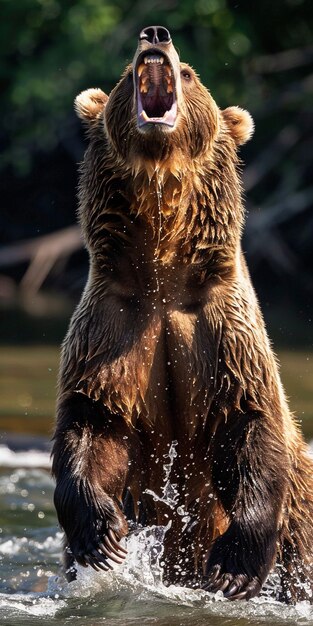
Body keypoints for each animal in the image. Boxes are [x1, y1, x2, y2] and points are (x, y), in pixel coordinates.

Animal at [51, 25, 312, 600]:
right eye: (126, 73)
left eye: (189, 73)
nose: (155, 35)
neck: (163, 273)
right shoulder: (112, 326)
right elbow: (94, 422)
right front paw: (101, 535)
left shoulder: (223, 332)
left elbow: (250, 423)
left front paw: (233, 566)